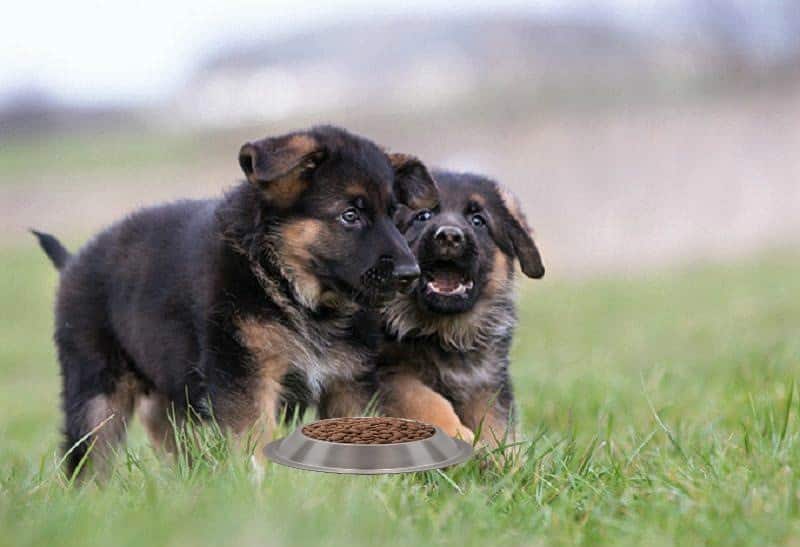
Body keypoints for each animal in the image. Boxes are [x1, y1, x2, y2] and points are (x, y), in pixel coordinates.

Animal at [32, 126, 438, 478]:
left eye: (394, 215)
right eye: (350, 216)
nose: (411, 273)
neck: (289, 288)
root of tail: (72, 261)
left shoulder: (349, 381)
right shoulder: (245, 377)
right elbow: (254, 444)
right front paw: (259, 489)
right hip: (96, 389)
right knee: (90, 457)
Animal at [376, 171, 544, 446]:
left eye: (478, 221)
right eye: (423, 216)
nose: (449, 236)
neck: (444, 331)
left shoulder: (485, 382)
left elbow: (496, 424)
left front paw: (506, 455)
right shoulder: (388, 373)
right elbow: (426, 400)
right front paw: (460, 436)